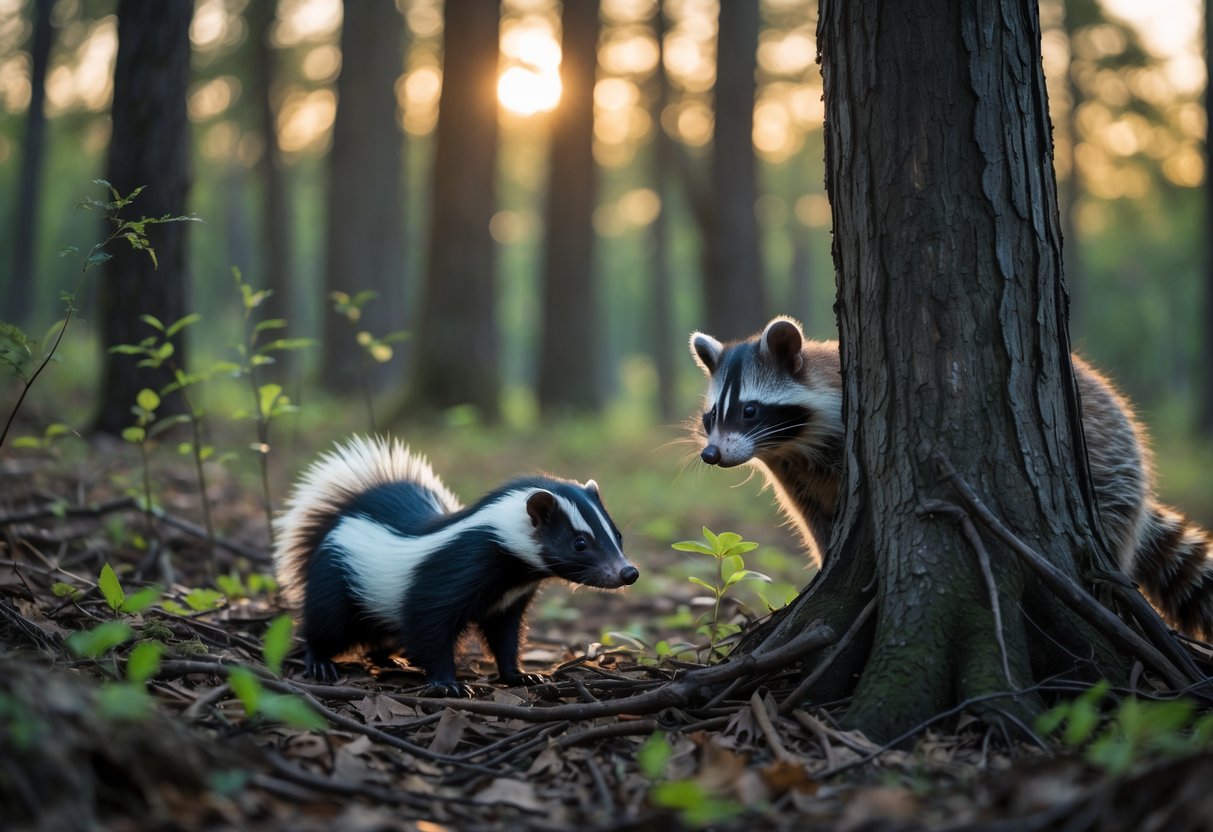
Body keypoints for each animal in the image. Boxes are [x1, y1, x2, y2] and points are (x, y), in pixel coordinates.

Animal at [690, 316, 1213, 641]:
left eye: (750, 410)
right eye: (711, 415)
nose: (711, 454)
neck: (794, 445)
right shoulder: (796, 475)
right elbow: (818, 523)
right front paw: (824, 563)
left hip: (1110, 466)